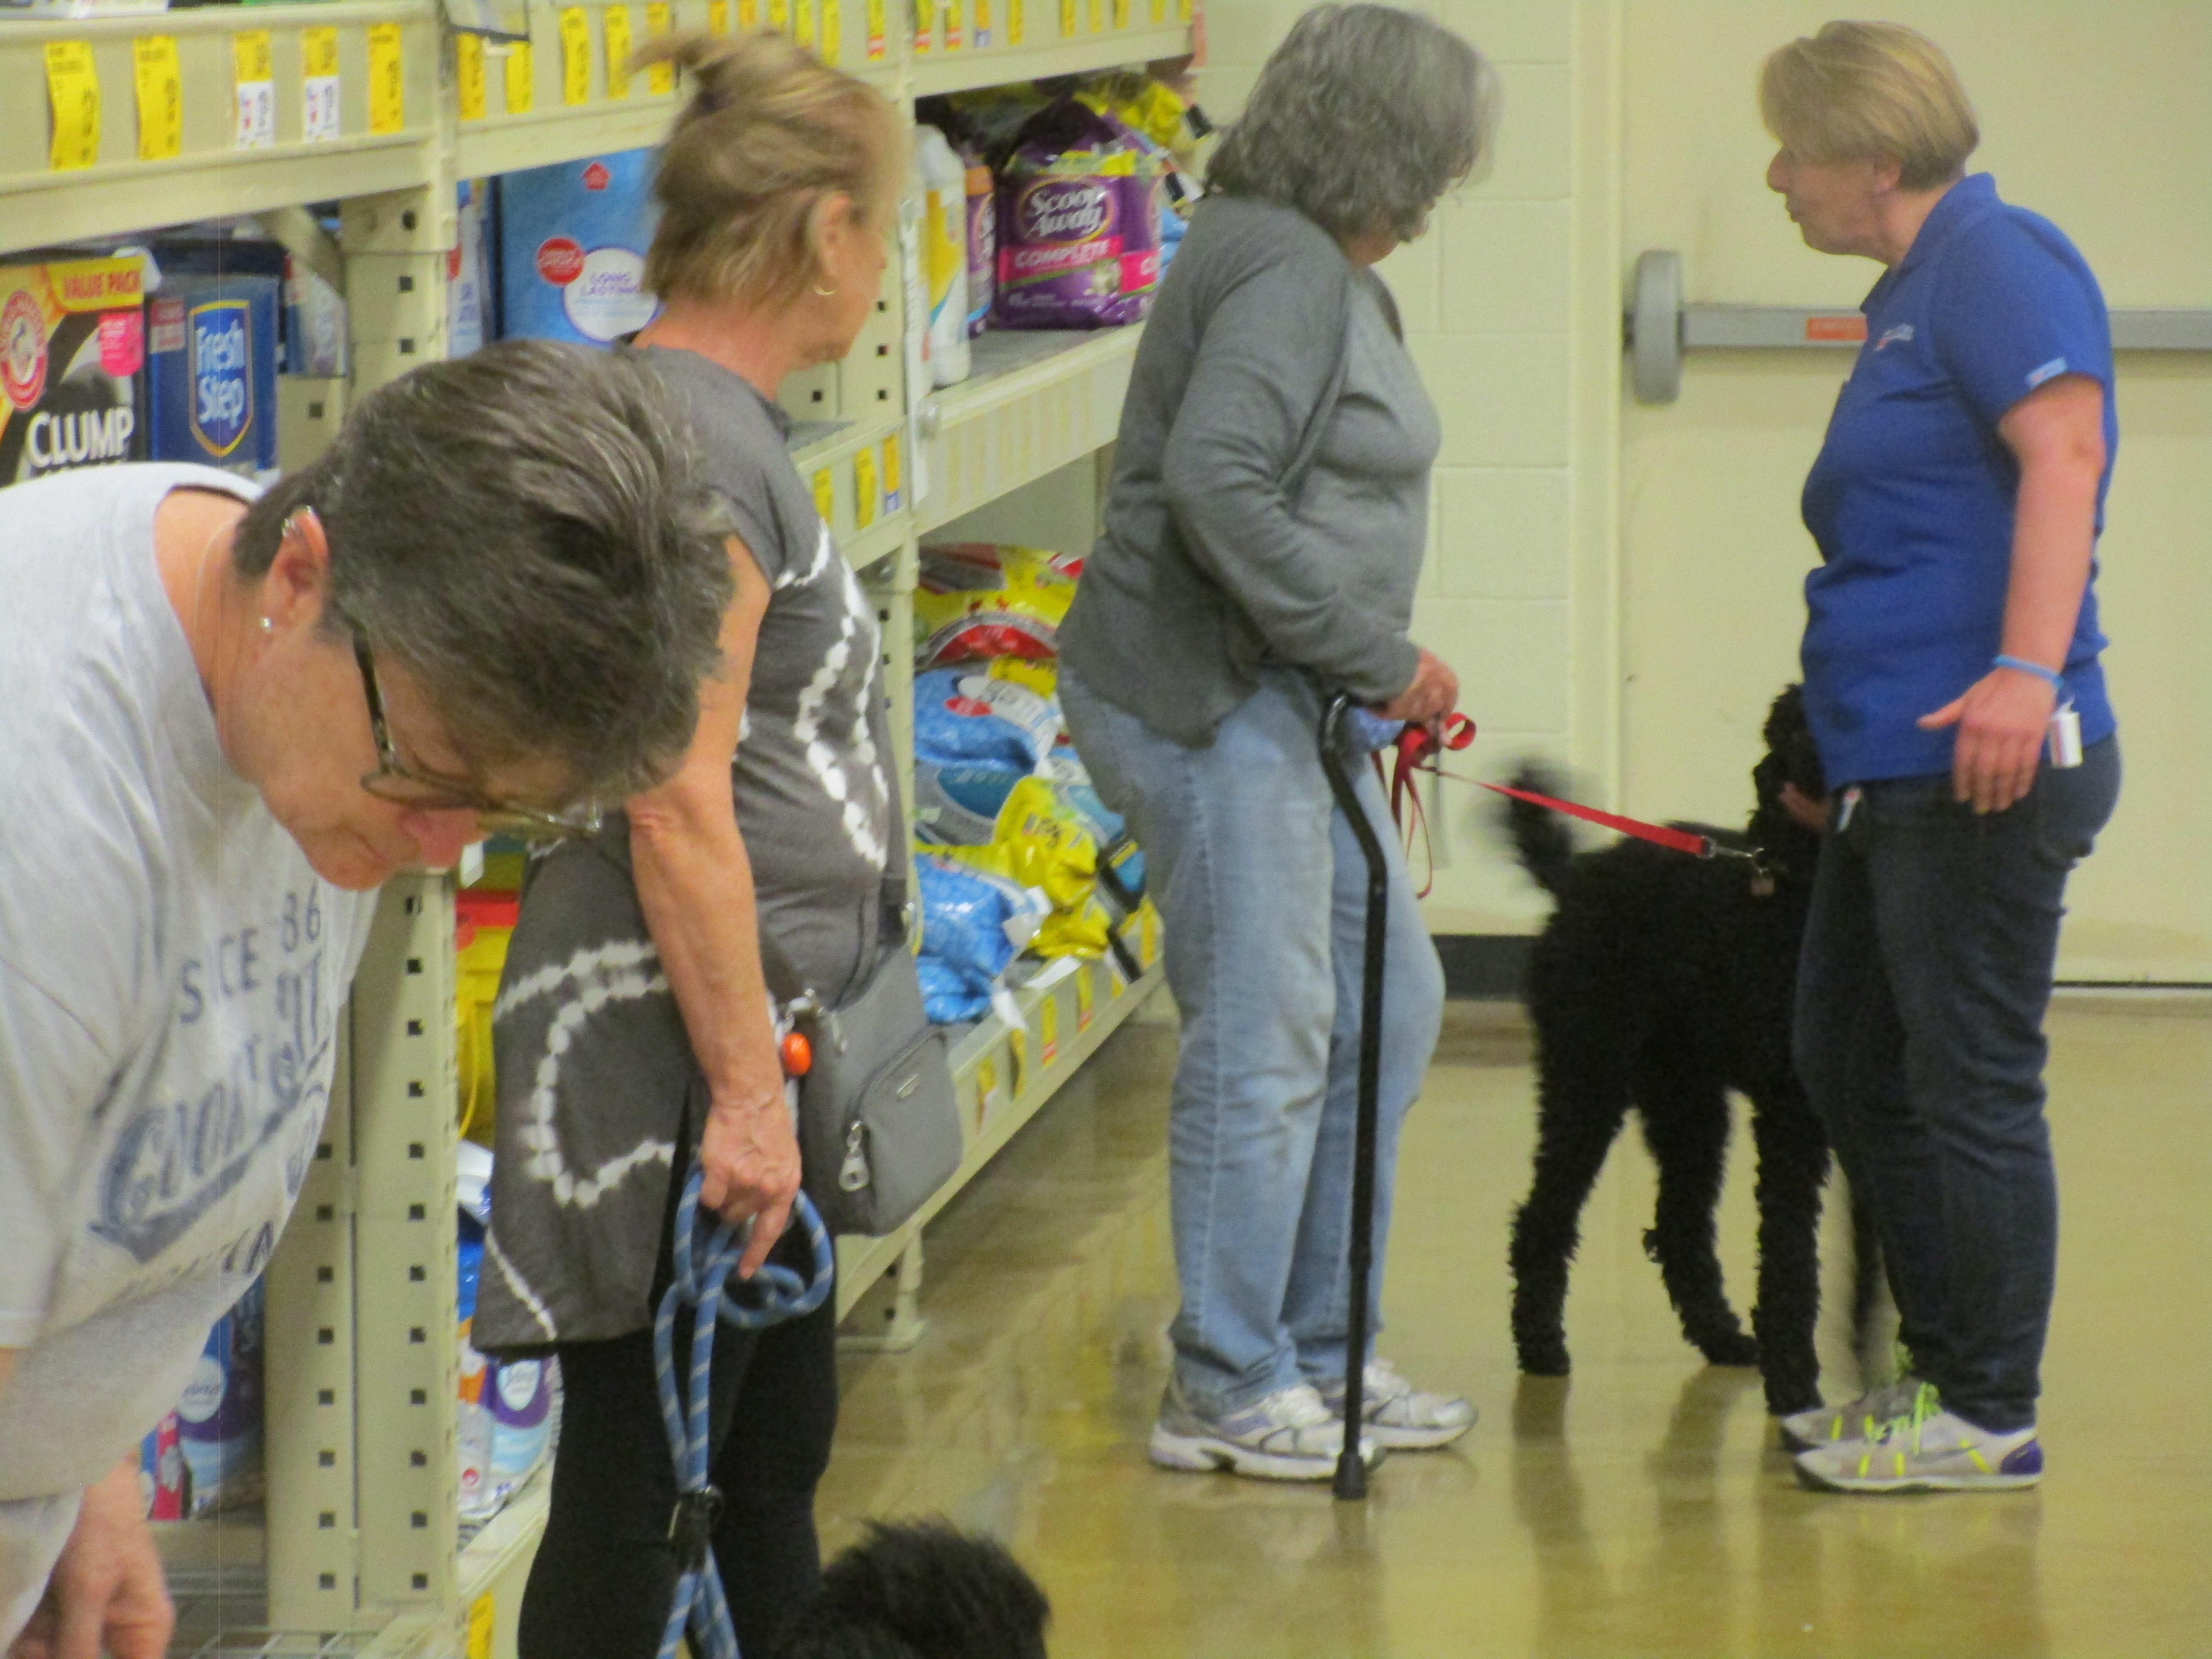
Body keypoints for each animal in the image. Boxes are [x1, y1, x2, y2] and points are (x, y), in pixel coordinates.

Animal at [1501, 684, 1859, 1418]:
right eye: (1792, 728)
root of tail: (1574, 877)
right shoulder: (1791, 1118)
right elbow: (1790, 1258)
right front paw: (1795, 1384)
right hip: (1587, 1076)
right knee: (1546, 1217)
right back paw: (1542, 1344)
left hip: (1686, 1100)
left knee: (1679, 1224)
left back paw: (1721, 1334)